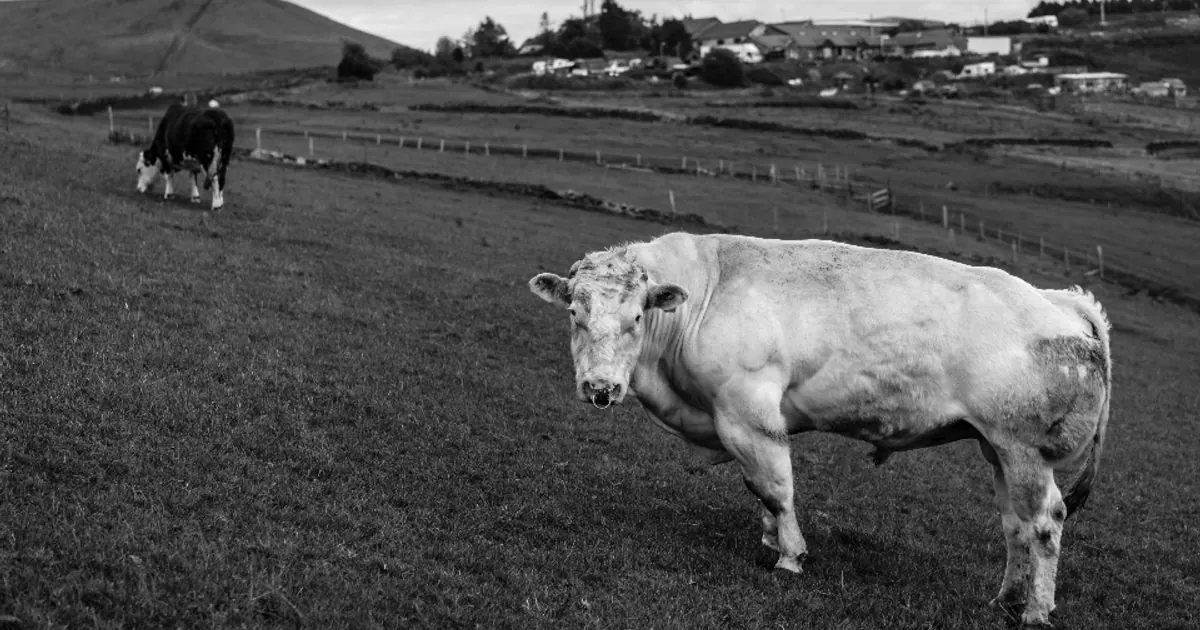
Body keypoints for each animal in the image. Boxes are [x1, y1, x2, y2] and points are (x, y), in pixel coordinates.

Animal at [528, 232, 1111, 628]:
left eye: (635, 318)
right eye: (576, 313)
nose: (600, 388)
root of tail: (1061, 300)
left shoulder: (748, 412)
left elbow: (775, 487)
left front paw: (789, 555)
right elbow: (758, 488)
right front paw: (769, 538)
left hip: (1024, 448)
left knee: (1045, 523)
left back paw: (1036, 609)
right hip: (999, 449)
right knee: (1015, 526)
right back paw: (1006, 598)